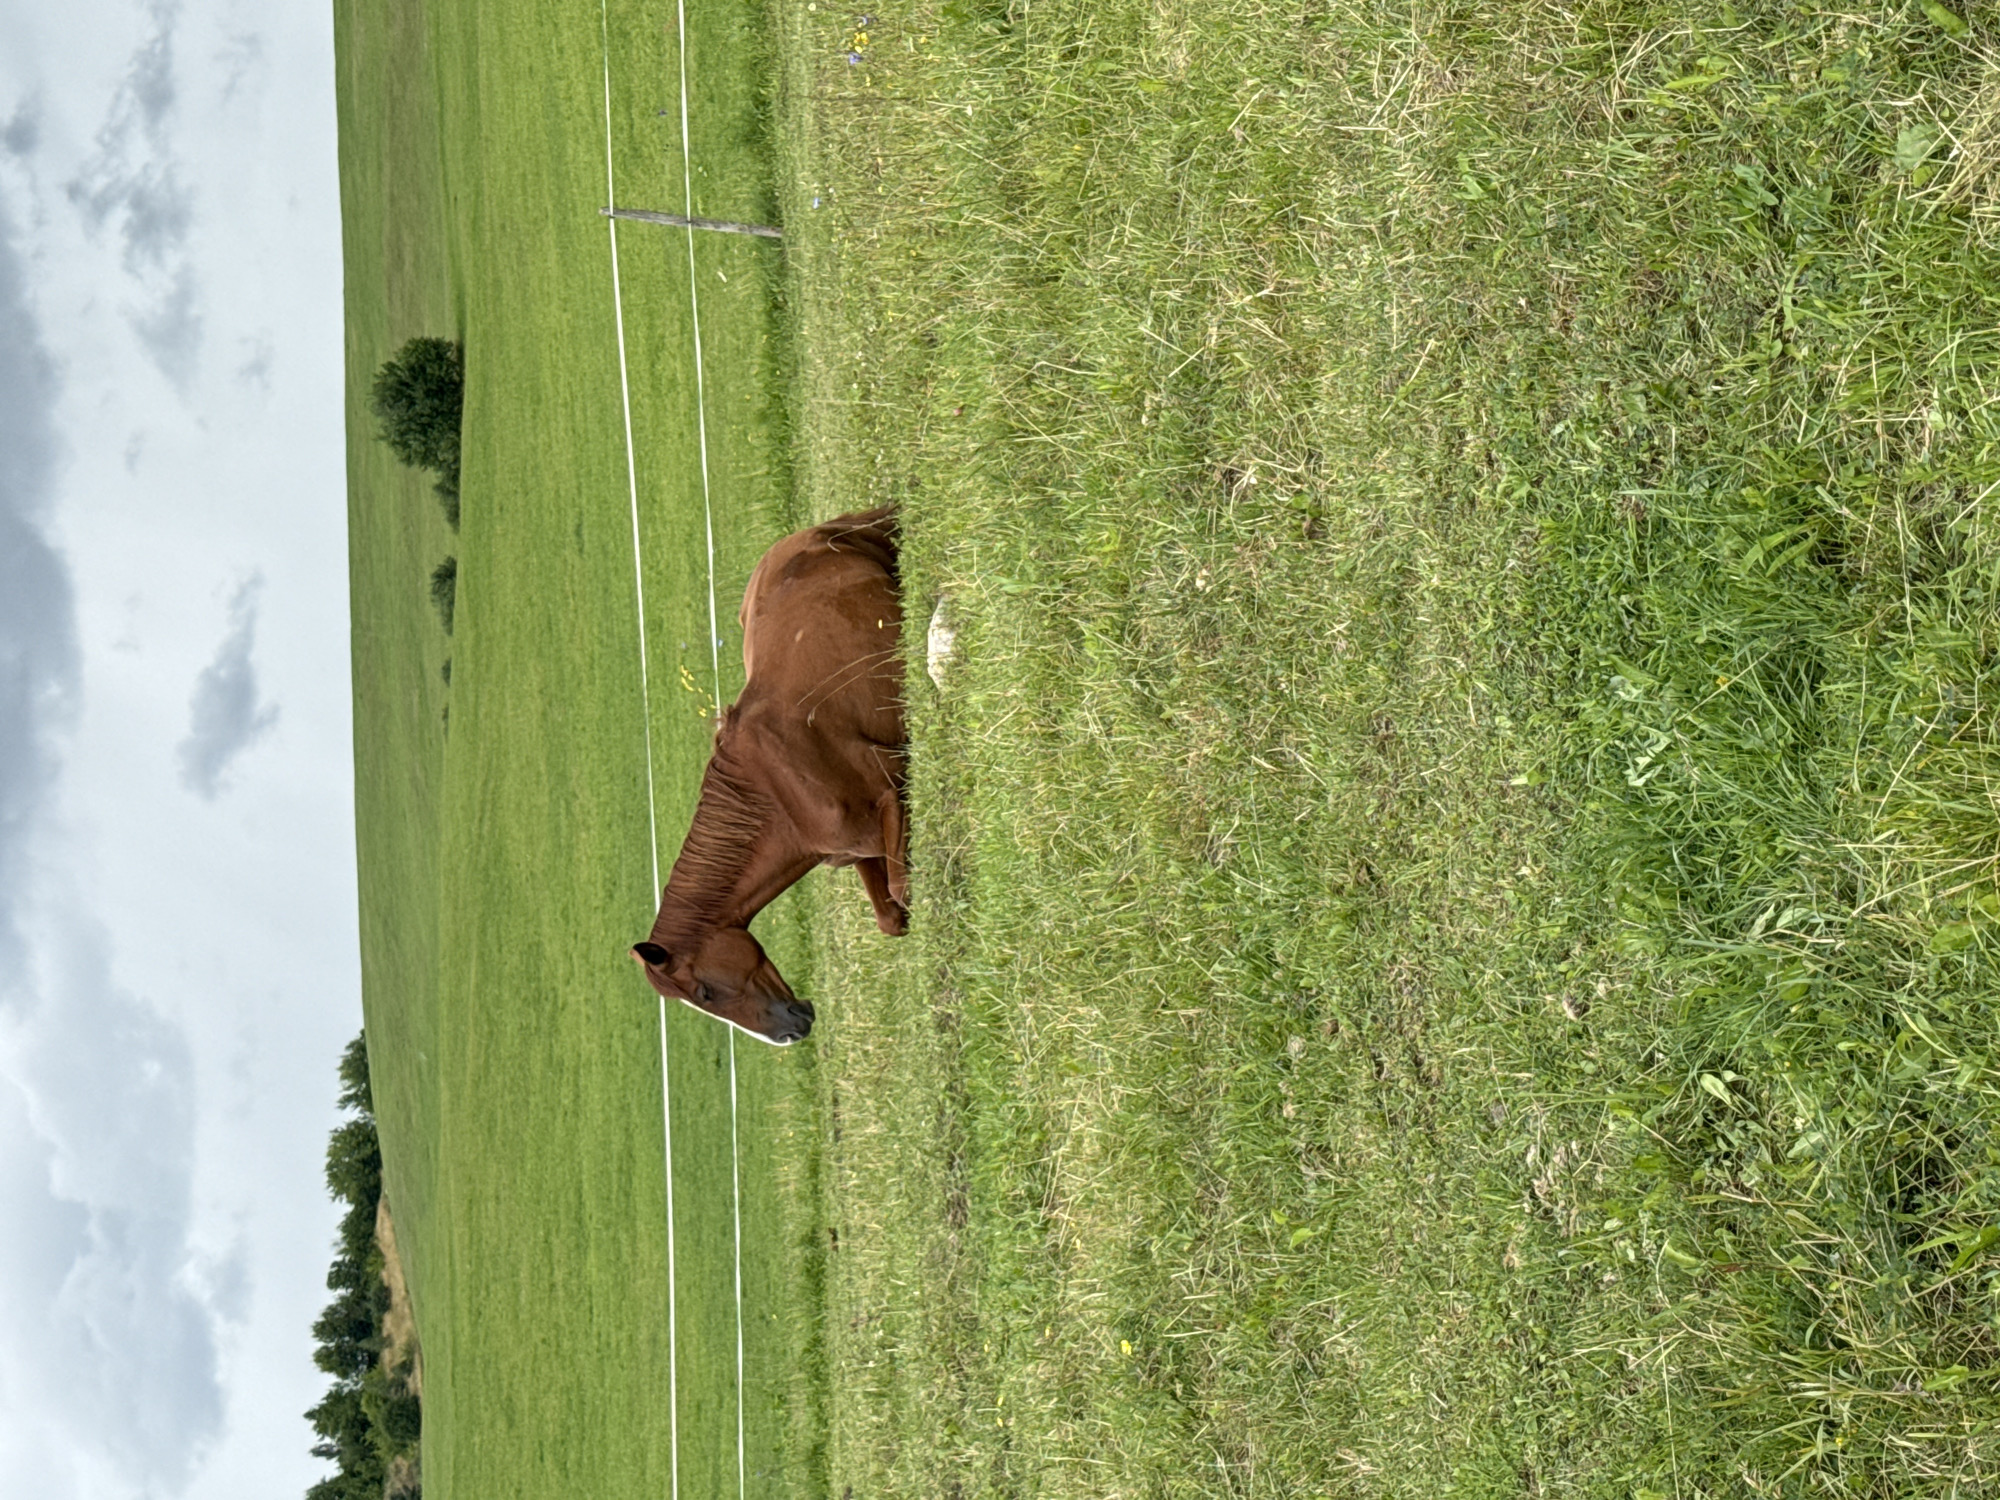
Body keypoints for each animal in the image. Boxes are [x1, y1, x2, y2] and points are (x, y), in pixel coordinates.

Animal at [631, 506, 906, 1044]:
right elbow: (891, 916)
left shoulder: (893, 791)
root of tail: (810, 535)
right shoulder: (860, 848)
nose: (789, 1032)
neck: (783, 796)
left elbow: (906, 888)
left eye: (704, 992)